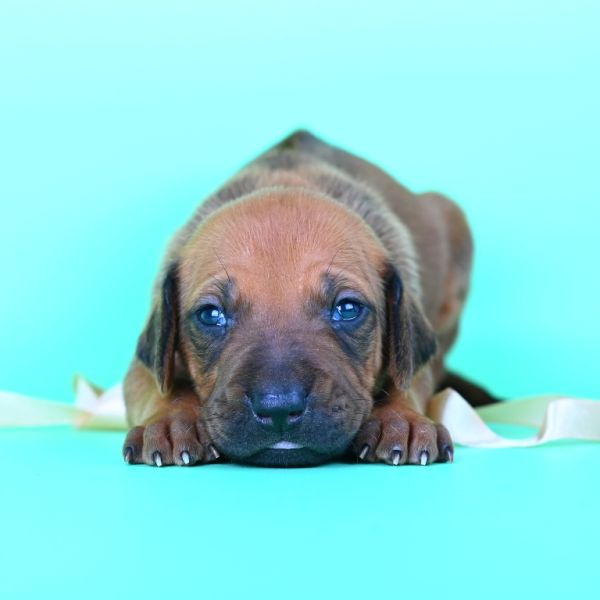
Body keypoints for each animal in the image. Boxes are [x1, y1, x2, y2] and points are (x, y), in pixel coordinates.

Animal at [122, 130, 489, 468]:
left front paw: (401, 418)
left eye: (347, 309)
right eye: (211, 315)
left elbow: (409, 380)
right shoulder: (142, 367)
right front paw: (173, 420)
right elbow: (159, 386)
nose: (279, 407)